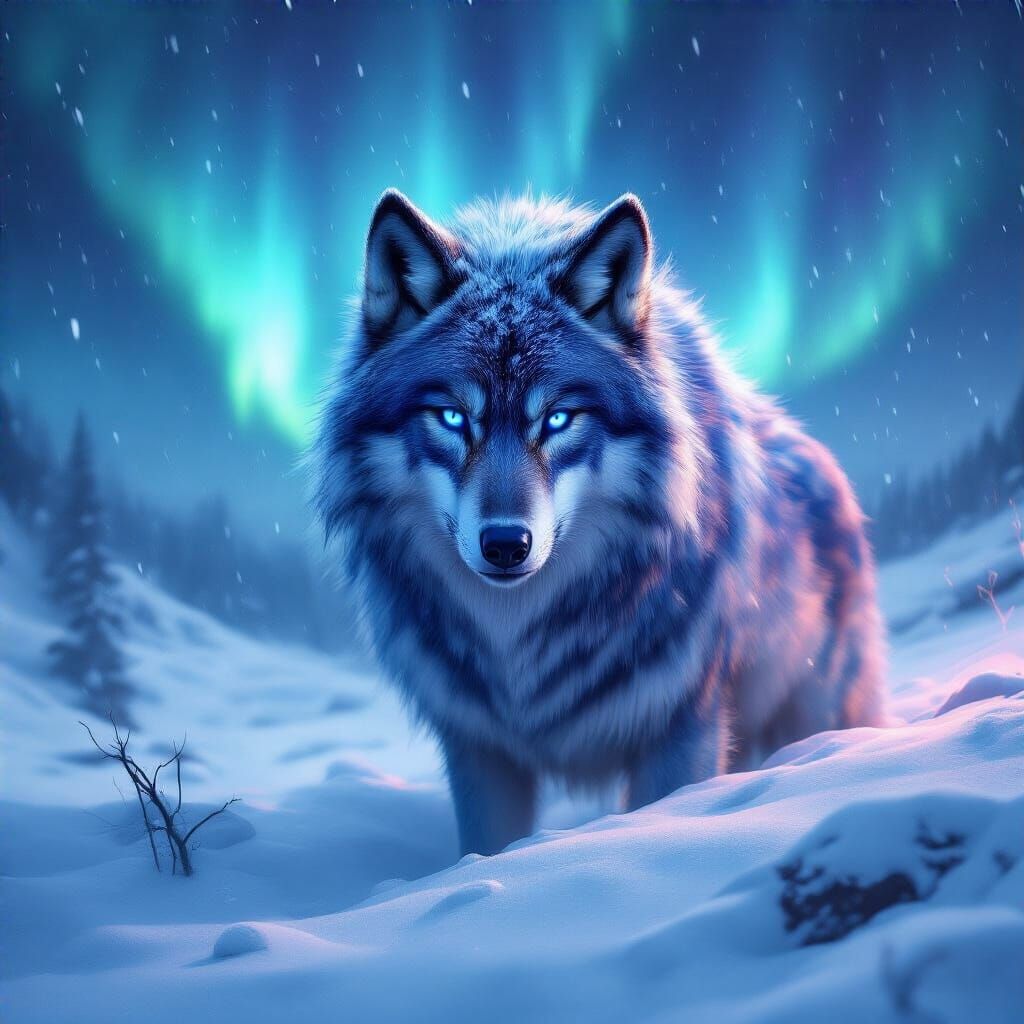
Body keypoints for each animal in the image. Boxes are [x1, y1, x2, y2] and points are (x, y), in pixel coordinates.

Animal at [313, 189, 885, 857]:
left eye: (558, 419)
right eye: (453, 418)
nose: (505, 544)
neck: (518, 638)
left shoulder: (683, 727)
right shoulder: (479, 749)